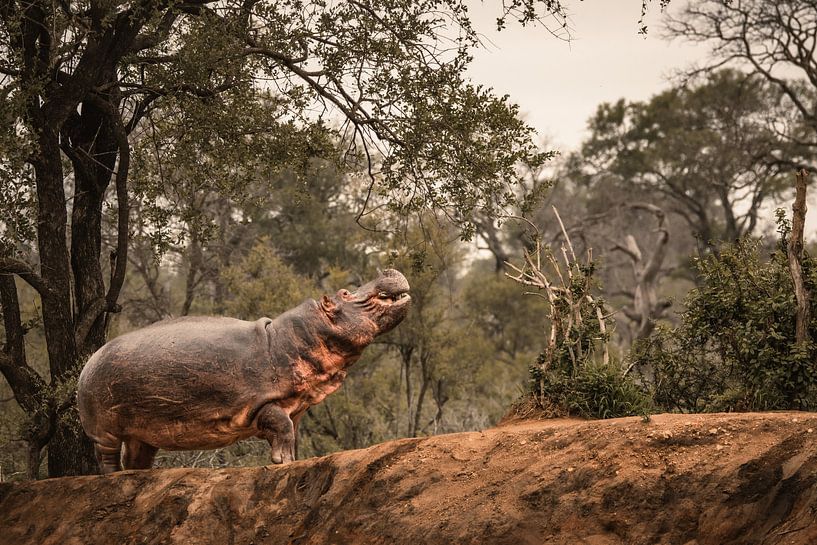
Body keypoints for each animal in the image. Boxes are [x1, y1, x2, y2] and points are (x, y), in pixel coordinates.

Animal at [77, 269, 410, 473]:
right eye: (345, 293)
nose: (386, 270)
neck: (301, 336)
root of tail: (87, 363)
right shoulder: (262, 403)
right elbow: (281, 427)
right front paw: (282, 463)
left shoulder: (295, 407)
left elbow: (291, 433)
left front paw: (293, 461)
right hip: (104, 426)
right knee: (106, 455)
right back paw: (114, 477)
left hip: (143, 428)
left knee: (137, 454)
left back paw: (142, 475)